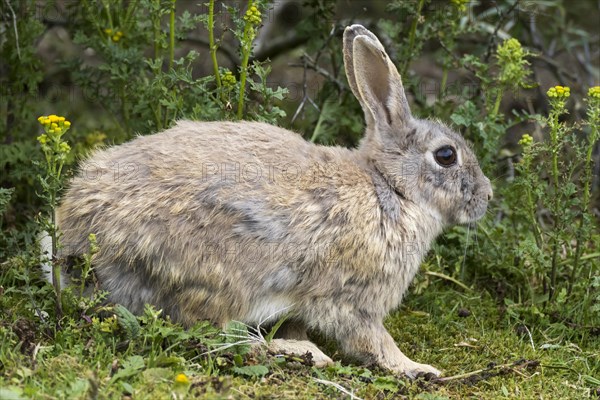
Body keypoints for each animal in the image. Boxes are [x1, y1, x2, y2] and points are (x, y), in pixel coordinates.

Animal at [56, 25, 492, 378]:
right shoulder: (355, 299)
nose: (486, 196)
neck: (390, 187)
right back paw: (300, 353)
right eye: (446, 155)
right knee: (213, 334)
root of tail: (75, 244)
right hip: (217, 275)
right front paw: (418, 368)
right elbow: (372, 340)